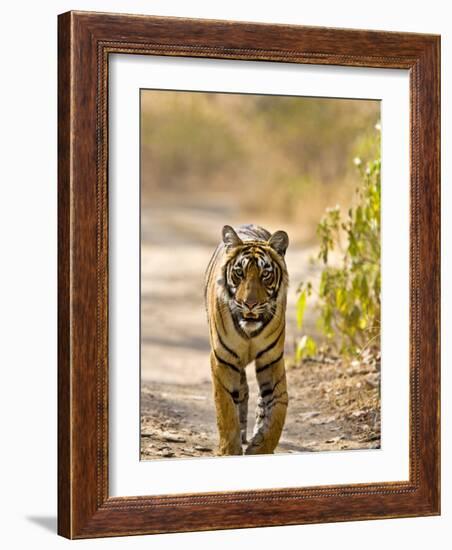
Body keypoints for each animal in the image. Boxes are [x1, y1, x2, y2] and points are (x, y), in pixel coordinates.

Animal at [205, 224, 290, 458]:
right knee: (240, 392)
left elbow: (279, 405)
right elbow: (225, 406)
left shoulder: (272, 360)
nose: (249, 304)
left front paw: (261, 447)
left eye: (265, 274)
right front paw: (229, 450)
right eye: (239, 273)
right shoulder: (223, 359)